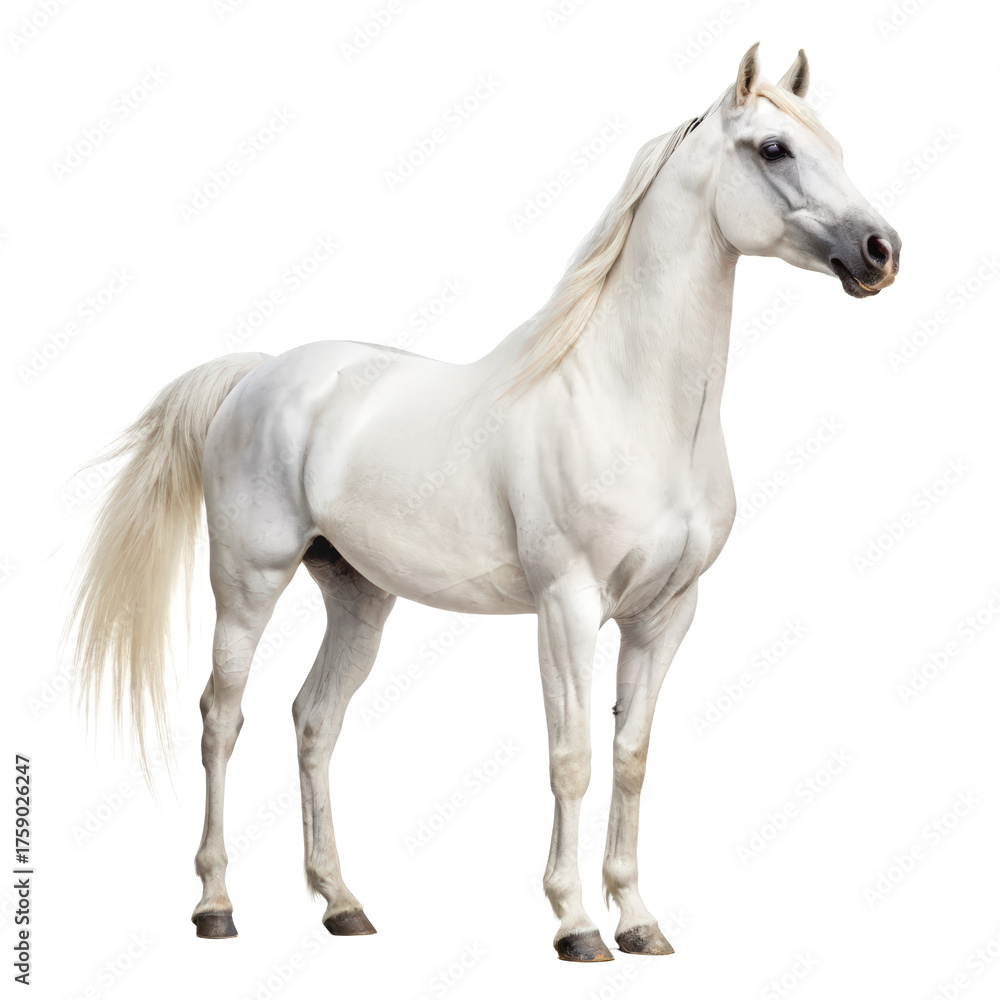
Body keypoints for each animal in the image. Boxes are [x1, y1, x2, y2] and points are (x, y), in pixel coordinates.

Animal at [69, 43, 900, 962]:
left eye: (833, 143)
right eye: (773, 149)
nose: (880, 250)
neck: (629, 402)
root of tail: (260, 371)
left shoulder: (666, 615)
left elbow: (631, 757)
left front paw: (638, 919)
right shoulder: (568, 607)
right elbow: (572, 756)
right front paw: (576, 924)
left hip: (358, 597)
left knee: (314, 720)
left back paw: (342, 905)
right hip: (248, 580)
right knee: (223, 716)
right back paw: (216, 905)